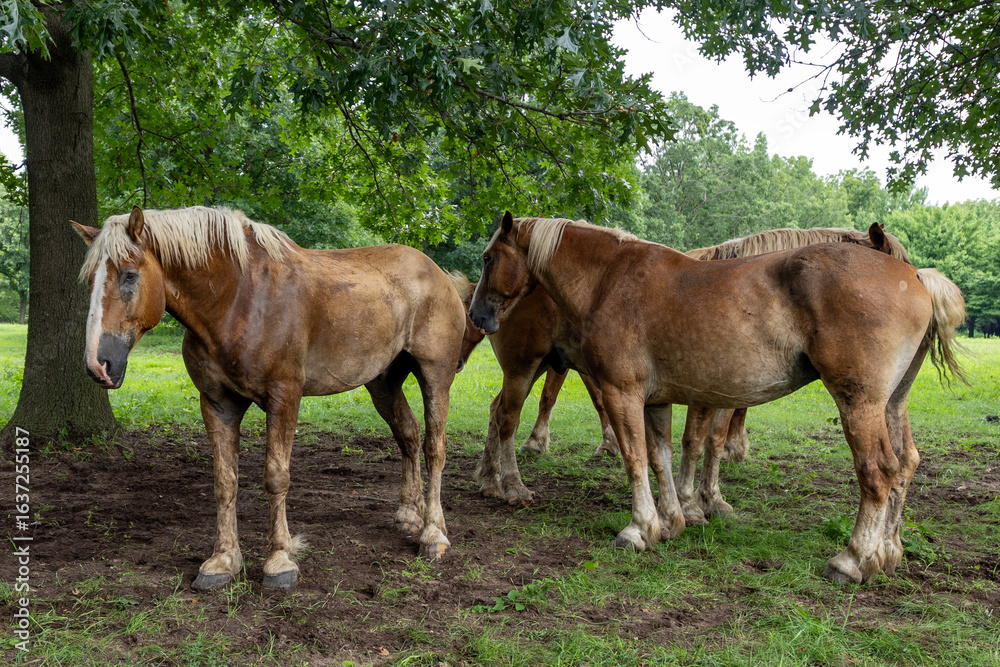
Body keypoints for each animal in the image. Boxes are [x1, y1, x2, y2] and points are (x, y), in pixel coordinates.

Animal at [73, 206, 468, 590]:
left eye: (128, 275)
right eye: (90, 280)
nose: (97, 364)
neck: (238, 300)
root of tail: (437, 273)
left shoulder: (284, 397)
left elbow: (276, 478)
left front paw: (280, 562)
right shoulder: (217, 403)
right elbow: (225, 482)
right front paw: (222, 561)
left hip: (436, 376)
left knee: (434, 447)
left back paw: (433, 534)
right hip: (383, 383)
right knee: (408, 434)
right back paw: (409, 516)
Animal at [470, 212, 965, 583]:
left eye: (488, 257)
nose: (477, 315)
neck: (609, 279)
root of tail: (915, 277)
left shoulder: (624, 392)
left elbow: (637, 457)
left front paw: (641, 527)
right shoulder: (657, 399)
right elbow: (662, 456)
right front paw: (673, 520)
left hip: (860, 404)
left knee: (880, 470)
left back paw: (855, 559)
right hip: (890, 405)